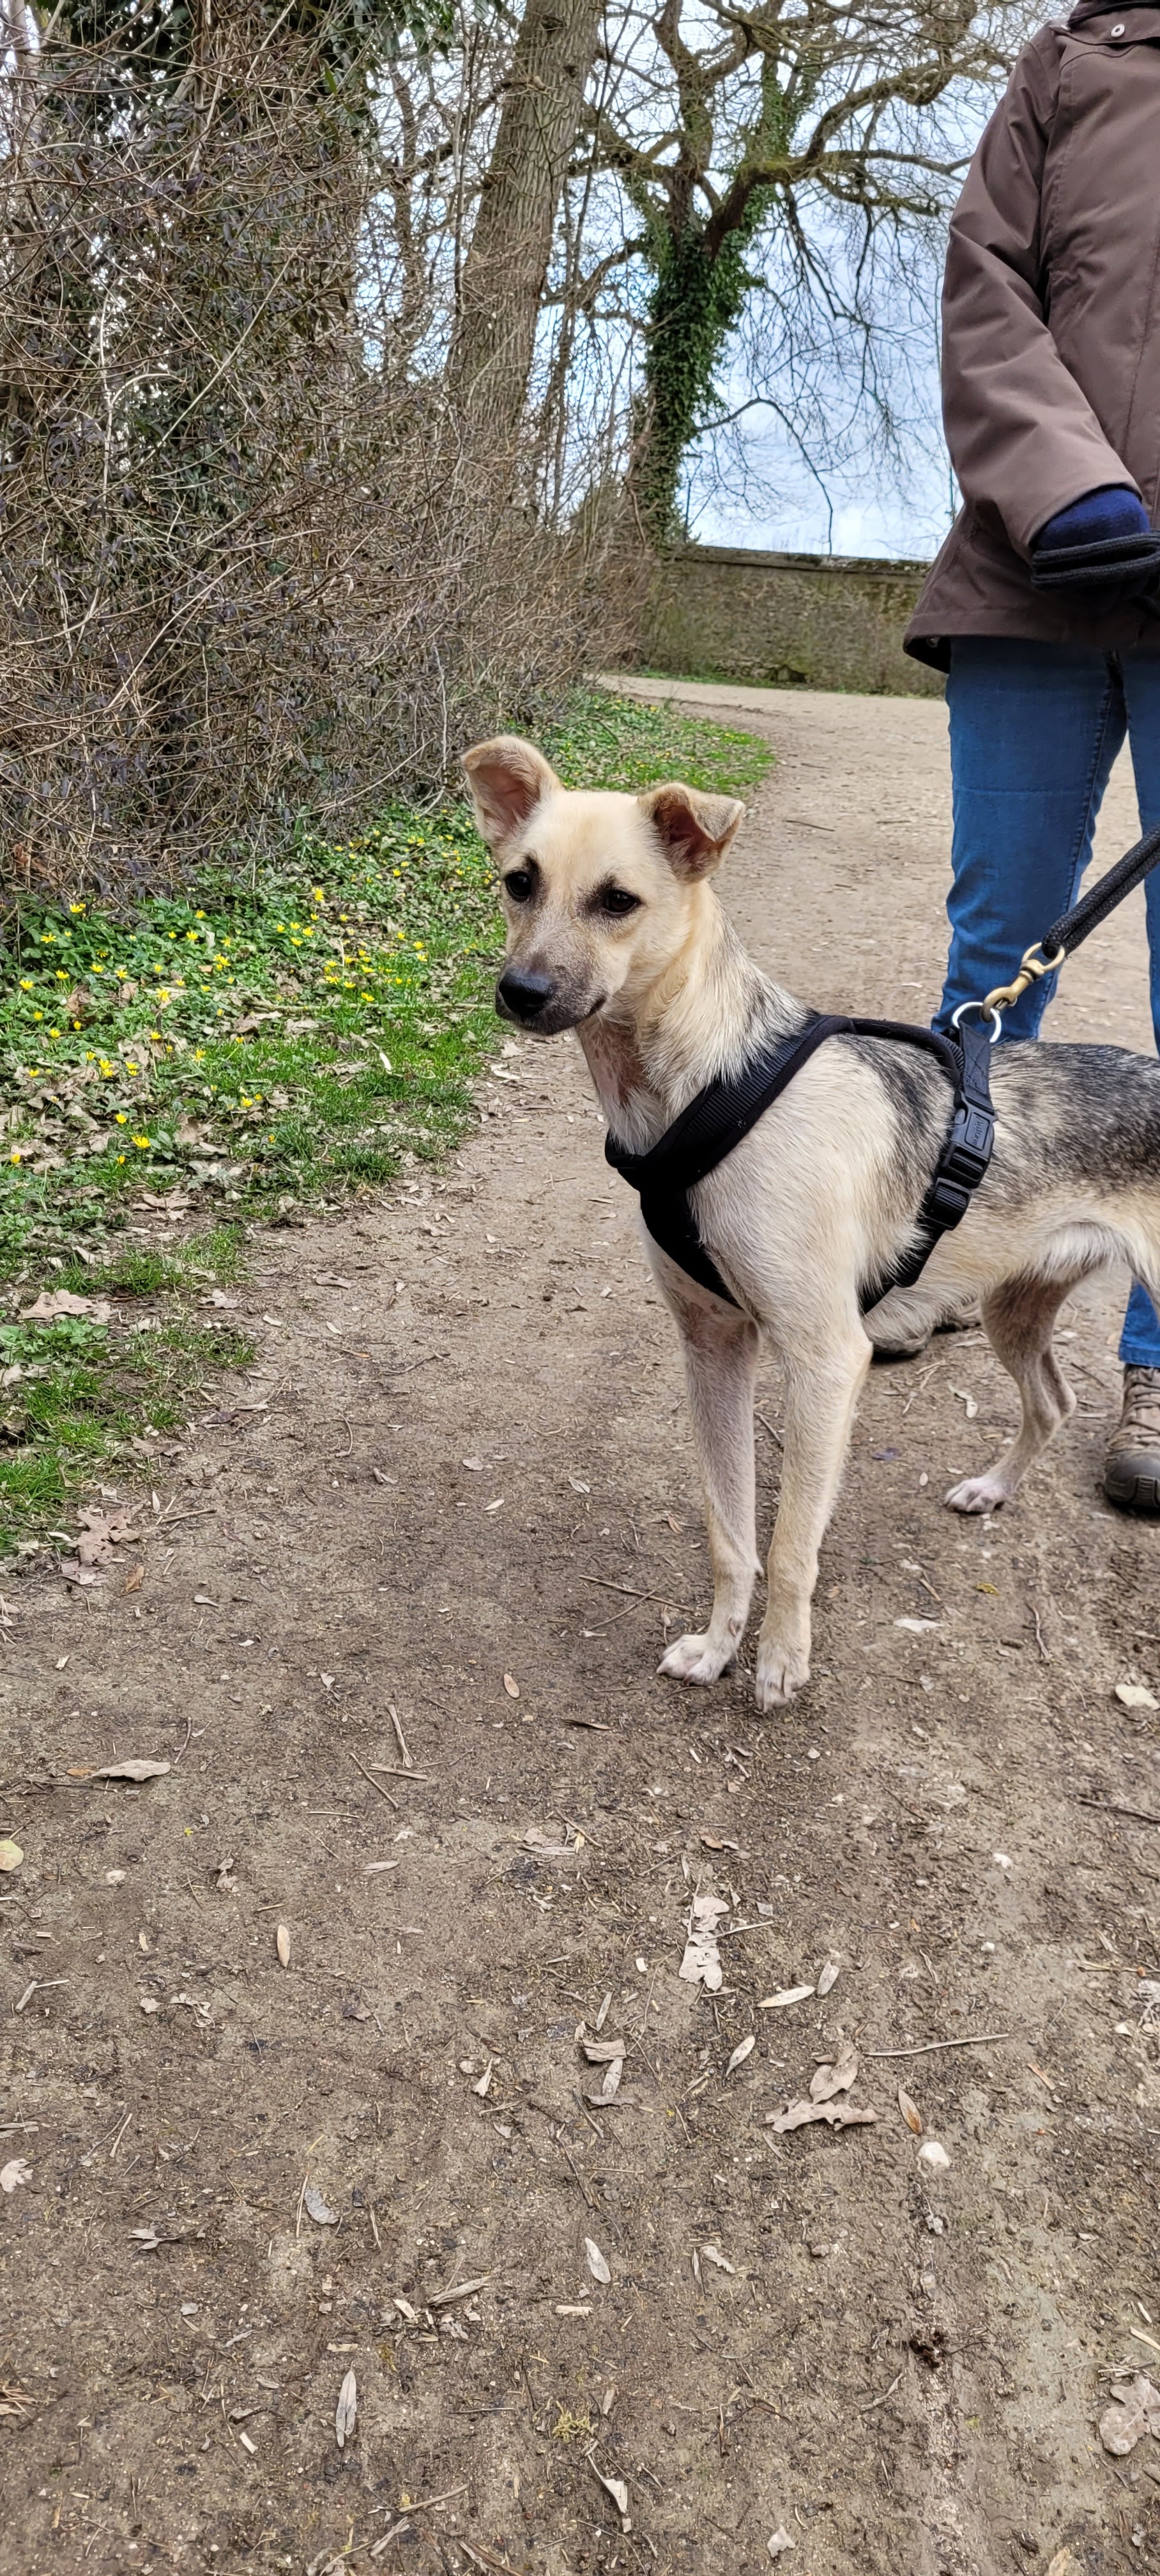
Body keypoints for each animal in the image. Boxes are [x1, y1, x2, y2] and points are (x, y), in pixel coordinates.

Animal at [462, 732, 1160, 1710]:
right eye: (519, 882)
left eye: (617, 901)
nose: (520, 991)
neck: (701, 1088)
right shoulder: (714, 1347)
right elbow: (730, 1531)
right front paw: (719, 1646)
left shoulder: (827, 1359)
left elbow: (792, 1541)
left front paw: (781, 1659)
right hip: (1012, 1306)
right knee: (1052, 1402)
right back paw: (991, 1488)